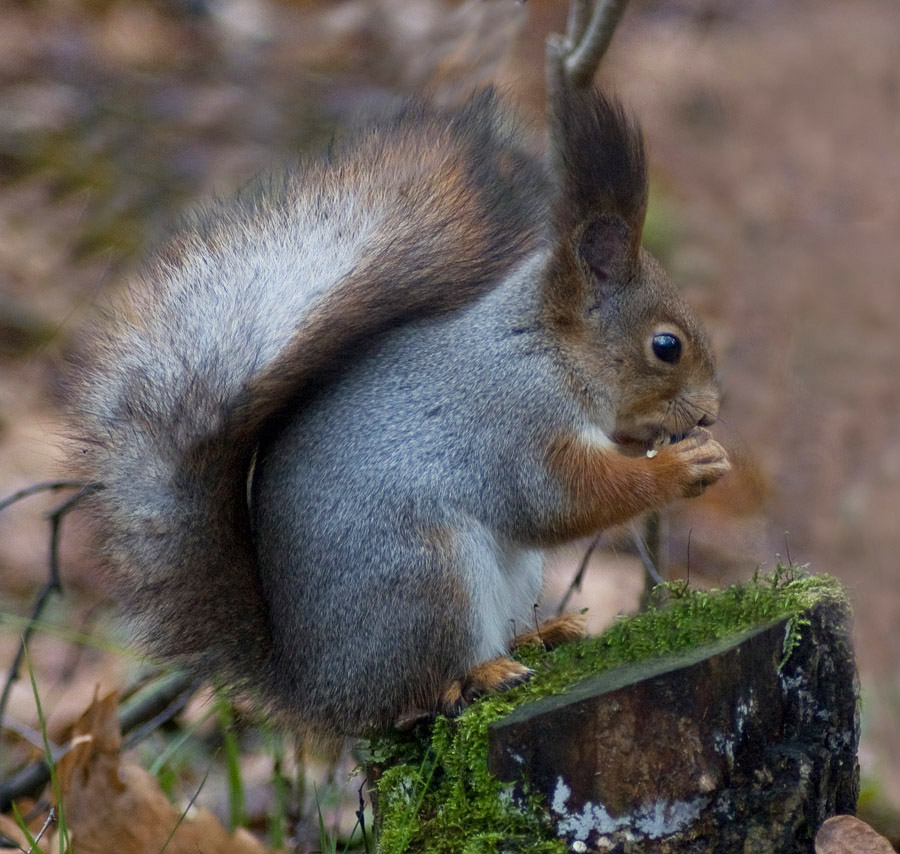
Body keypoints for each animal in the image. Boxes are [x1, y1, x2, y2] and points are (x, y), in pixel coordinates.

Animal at [67, 0, 728, 736]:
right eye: (666, 346)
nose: (711, 409)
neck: (544, 350)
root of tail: (319, 690)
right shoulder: (515, 422)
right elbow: (564, 497)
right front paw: (682, 467)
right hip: (425, 576)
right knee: (417, 693)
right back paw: (476, 676)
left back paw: (540, 635)